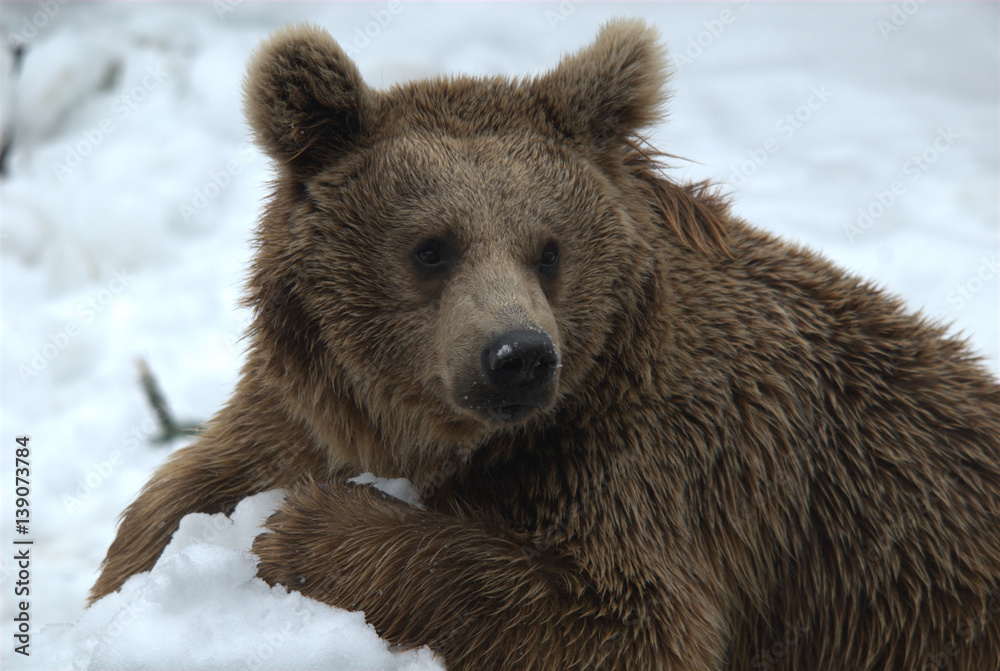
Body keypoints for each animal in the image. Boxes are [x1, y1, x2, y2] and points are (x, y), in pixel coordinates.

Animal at [90, 19, 1000, 671]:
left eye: (549, 248)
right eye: (432, 247)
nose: (518, 354)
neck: (427, 437)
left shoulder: (650, 465)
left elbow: (618, 618)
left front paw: (305, 530)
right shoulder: (308, 408)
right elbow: (177, 494)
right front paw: (134, 574)